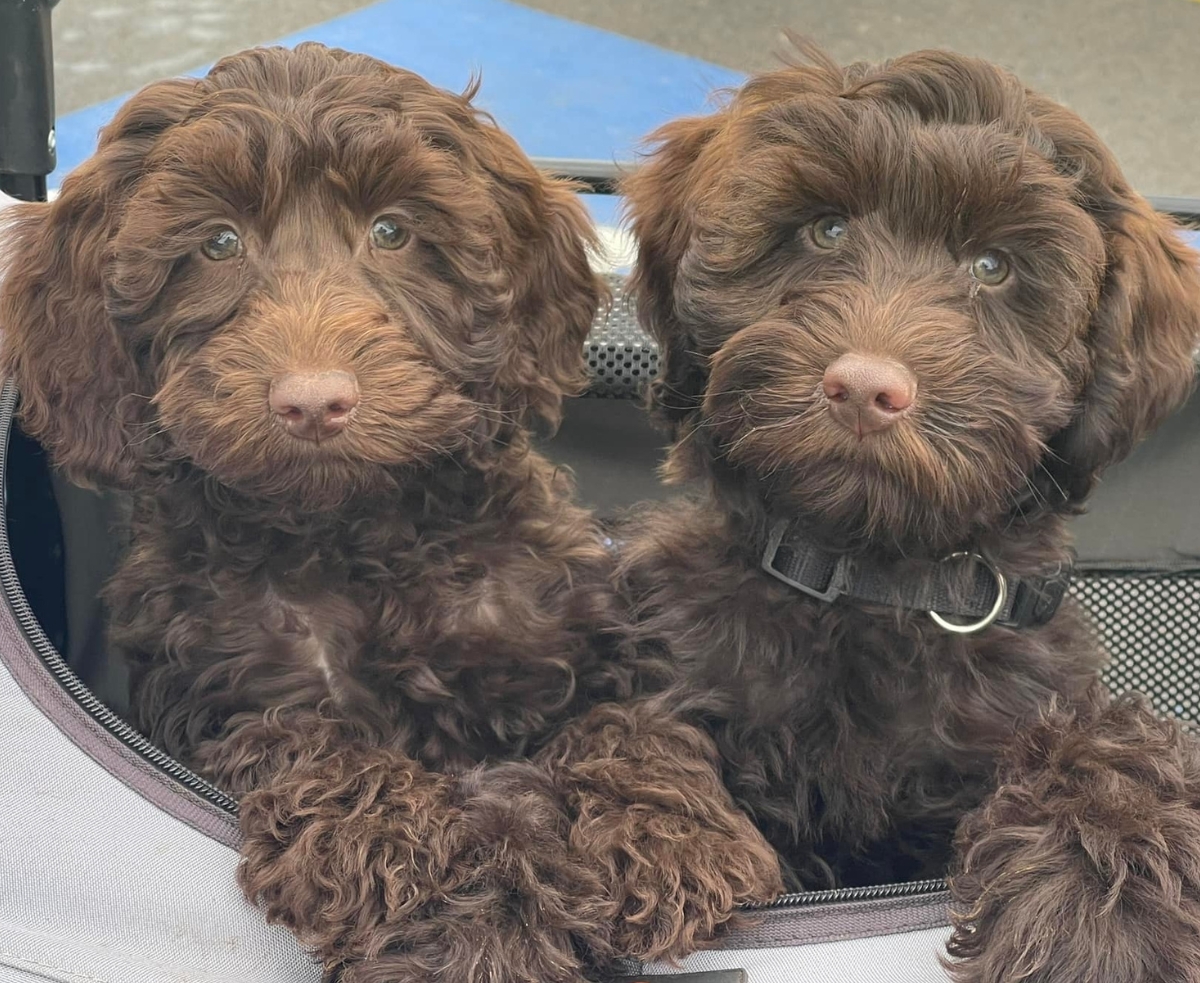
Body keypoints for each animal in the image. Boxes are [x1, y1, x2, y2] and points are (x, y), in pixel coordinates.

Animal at [0, 44, 777, 983]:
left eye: (393, 231)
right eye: (217, 242)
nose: (314, 402)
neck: (356, 535)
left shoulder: (572, 633)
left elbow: (627, 719)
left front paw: (663, 832)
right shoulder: (216, 696)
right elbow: (311, 740)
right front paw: (419, 876)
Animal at [614, 40, 1200, 983]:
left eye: (994, 267)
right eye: (826, 229)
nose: (864, 387)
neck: (869, 577)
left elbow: (1110, 743)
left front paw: (1100, 915)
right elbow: (635, 726)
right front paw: (662, 840)